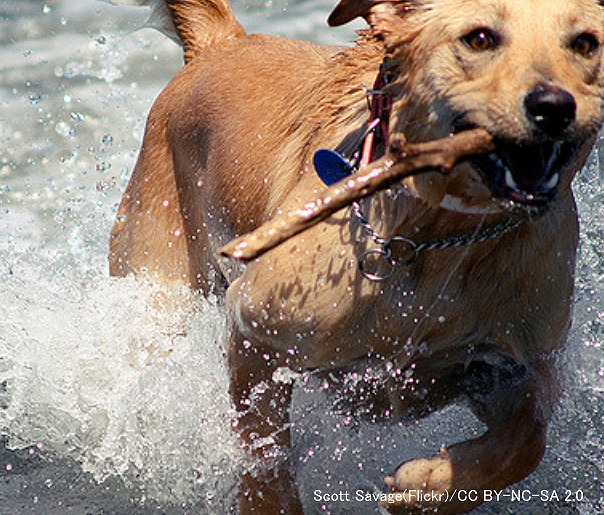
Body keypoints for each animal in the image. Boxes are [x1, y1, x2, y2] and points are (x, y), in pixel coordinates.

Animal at [108, 2, 604, 512]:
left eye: (586, 44)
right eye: (480, 38)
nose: (553, 106)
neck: (441, 237)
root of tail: (222, 42)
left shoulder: (511, 367)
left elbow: (528, 438)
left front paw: (429, 486)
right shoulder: (256, 326)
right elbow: (265, 451)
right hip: (158, 284)